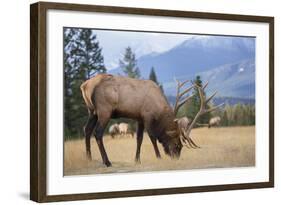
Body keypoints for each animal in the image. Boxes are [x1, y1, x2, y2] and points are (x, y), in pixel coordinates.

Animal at [79, 73, 221, 167]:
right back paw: (107, 161)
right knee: (97, 132)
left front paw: (137, 160)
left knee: (87, 130)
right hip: (104, 110)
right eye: (177, 145)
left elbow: (139, 139)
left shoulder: (139, 118)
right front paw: (158, 157)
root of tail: (85, 86)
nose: (175, 158)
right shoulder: (147, 116)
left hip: (92, 111)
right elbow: (152, 137)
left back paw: (89, 158)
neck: (159, 108)